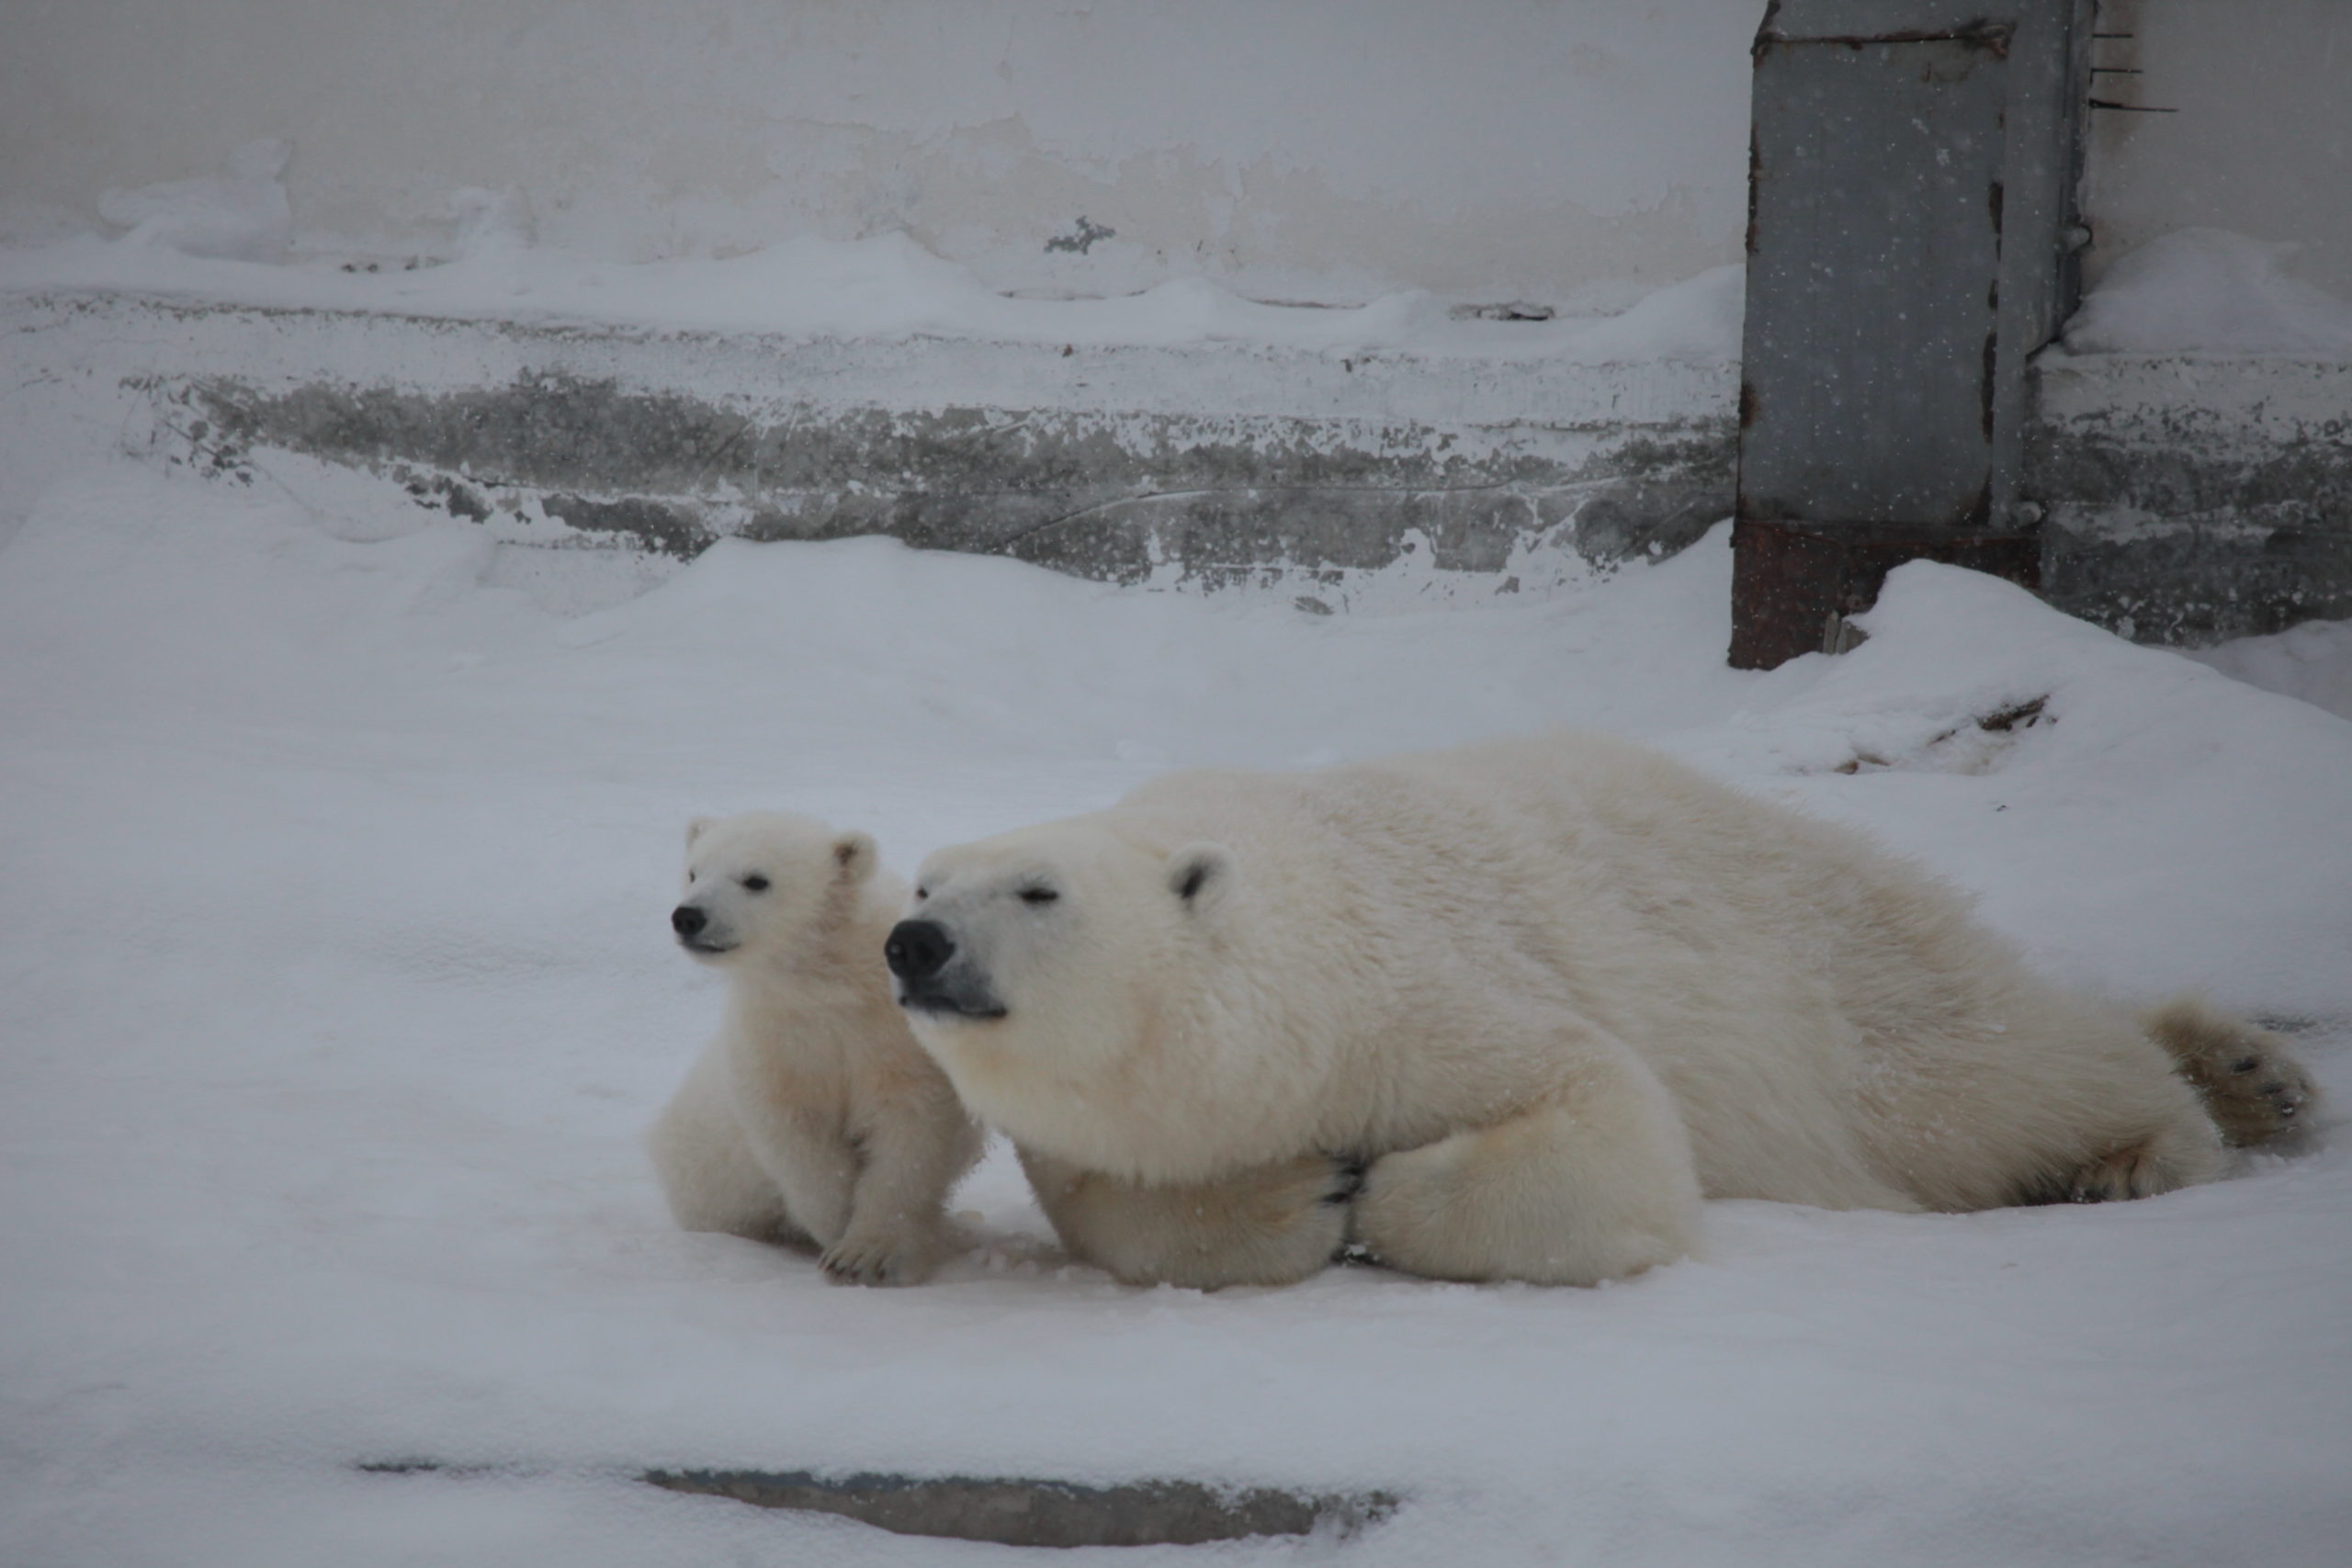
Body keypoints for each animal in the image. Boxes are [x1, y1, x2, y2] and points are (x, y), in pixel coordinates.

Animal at [884, 733, 2314, 1288]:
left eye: (1038, 888)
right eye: (923, 879)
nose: (914, 942)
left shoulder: (1412, 992)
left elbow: (1604, 1110)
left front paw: (1379, 1188)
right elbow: (1122, 1206)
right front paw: (1299, 1194)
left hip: (1831, 969)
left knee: (1979, 1077)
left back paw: (2181, 1124)